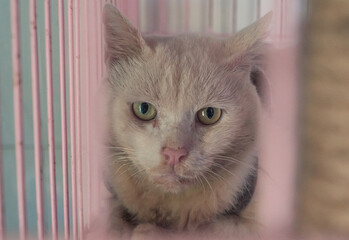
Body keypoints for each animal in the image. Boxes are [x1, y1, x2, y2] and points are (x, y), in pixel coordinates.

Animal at [102, 3, 270, 238]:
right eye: (144, 109)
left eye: (210, 114)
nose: (174, 153)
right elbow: (113, 214)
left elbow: (203, 229)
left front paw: (148, 232)